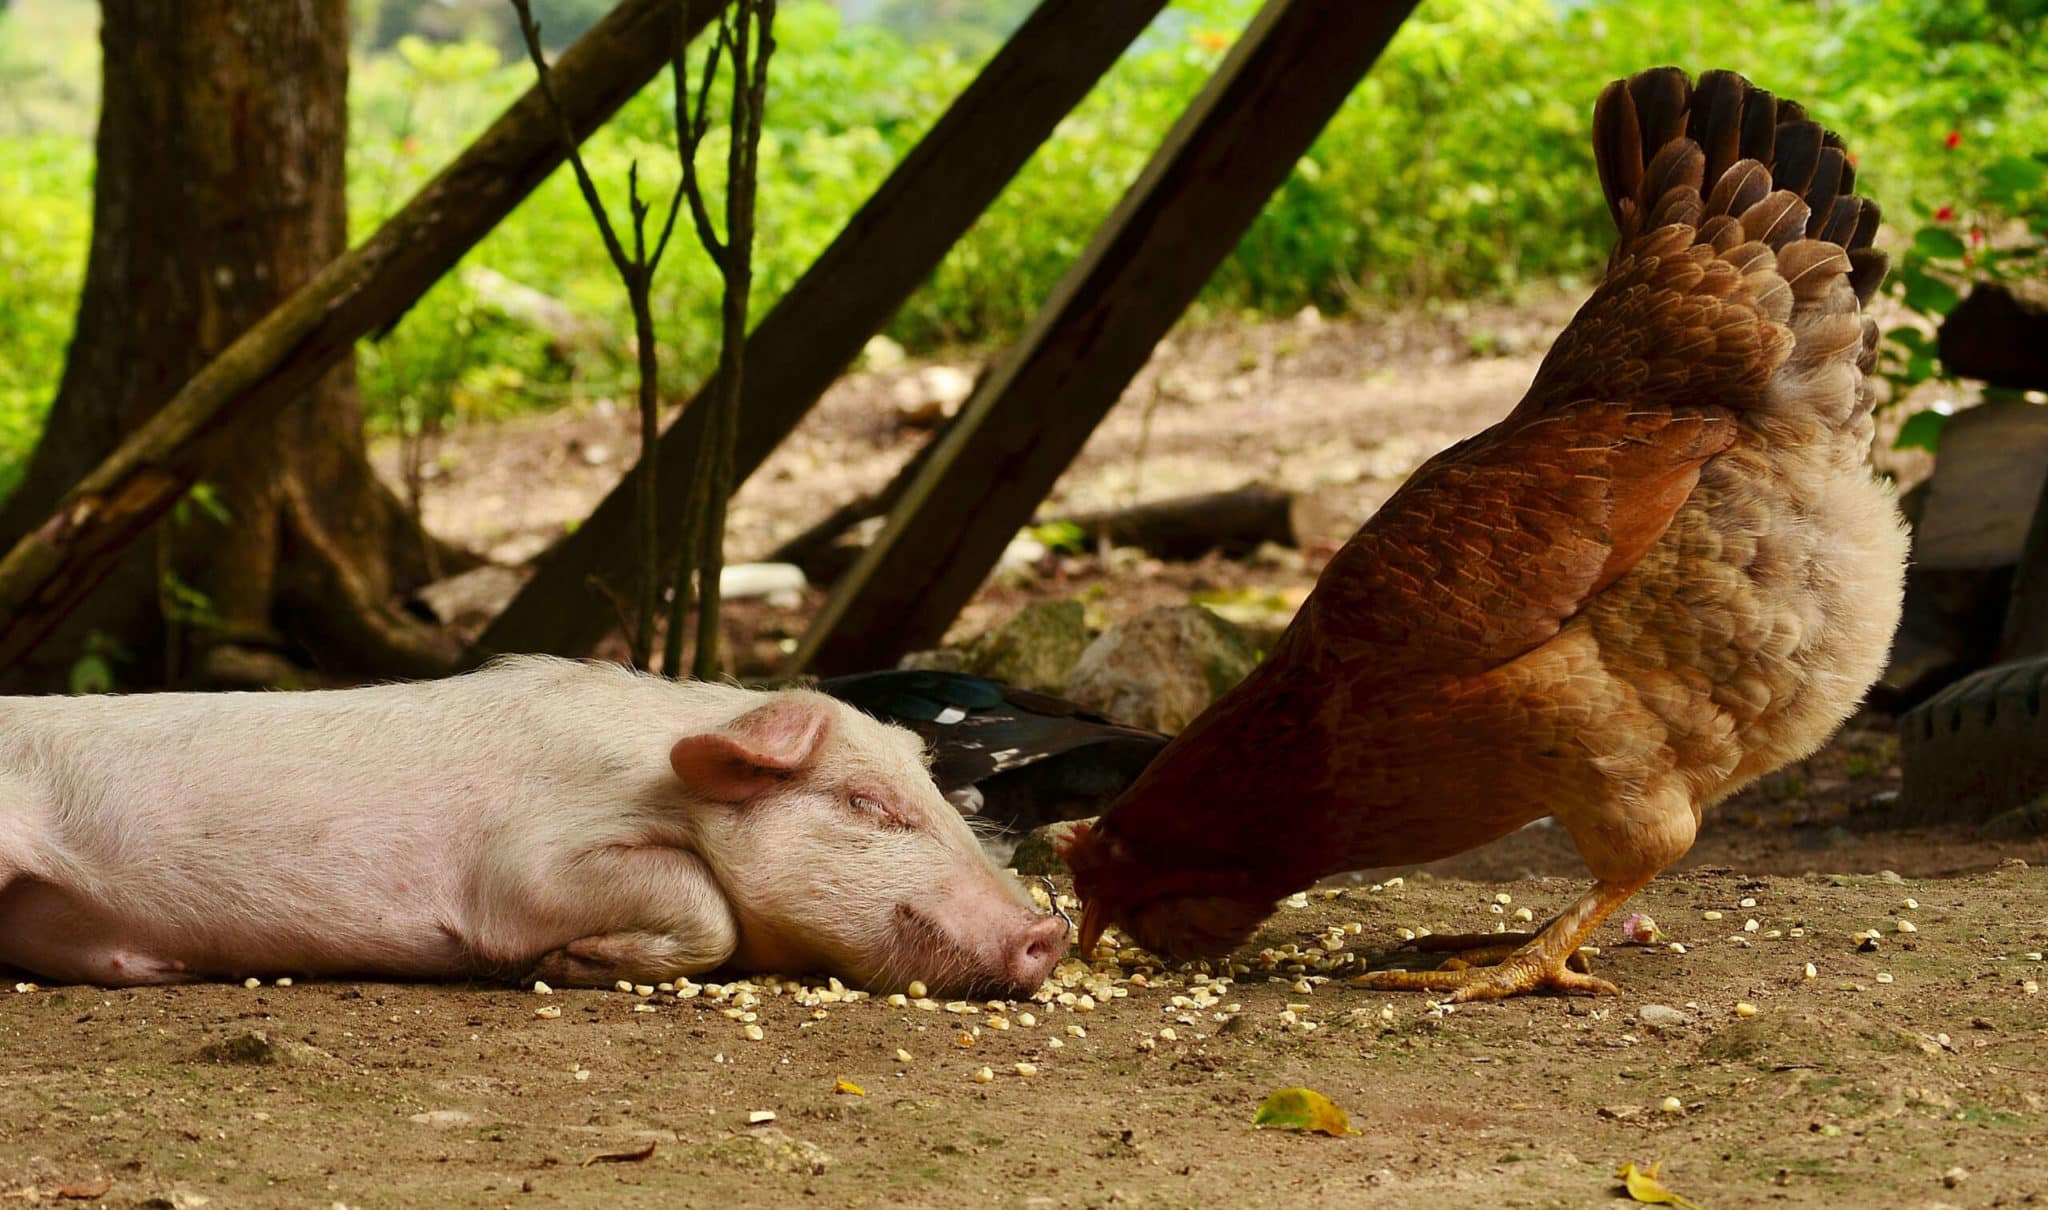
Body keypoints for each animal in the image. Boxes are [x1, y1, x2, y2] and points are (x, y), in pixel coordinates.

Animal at [8, 659, 1073, 999]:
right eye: (866, 806)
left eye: (941, 801)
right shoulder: (526, 864)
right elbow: (706, 906)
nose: (1048, 930)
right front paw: (564, 965)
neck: (659, 782)